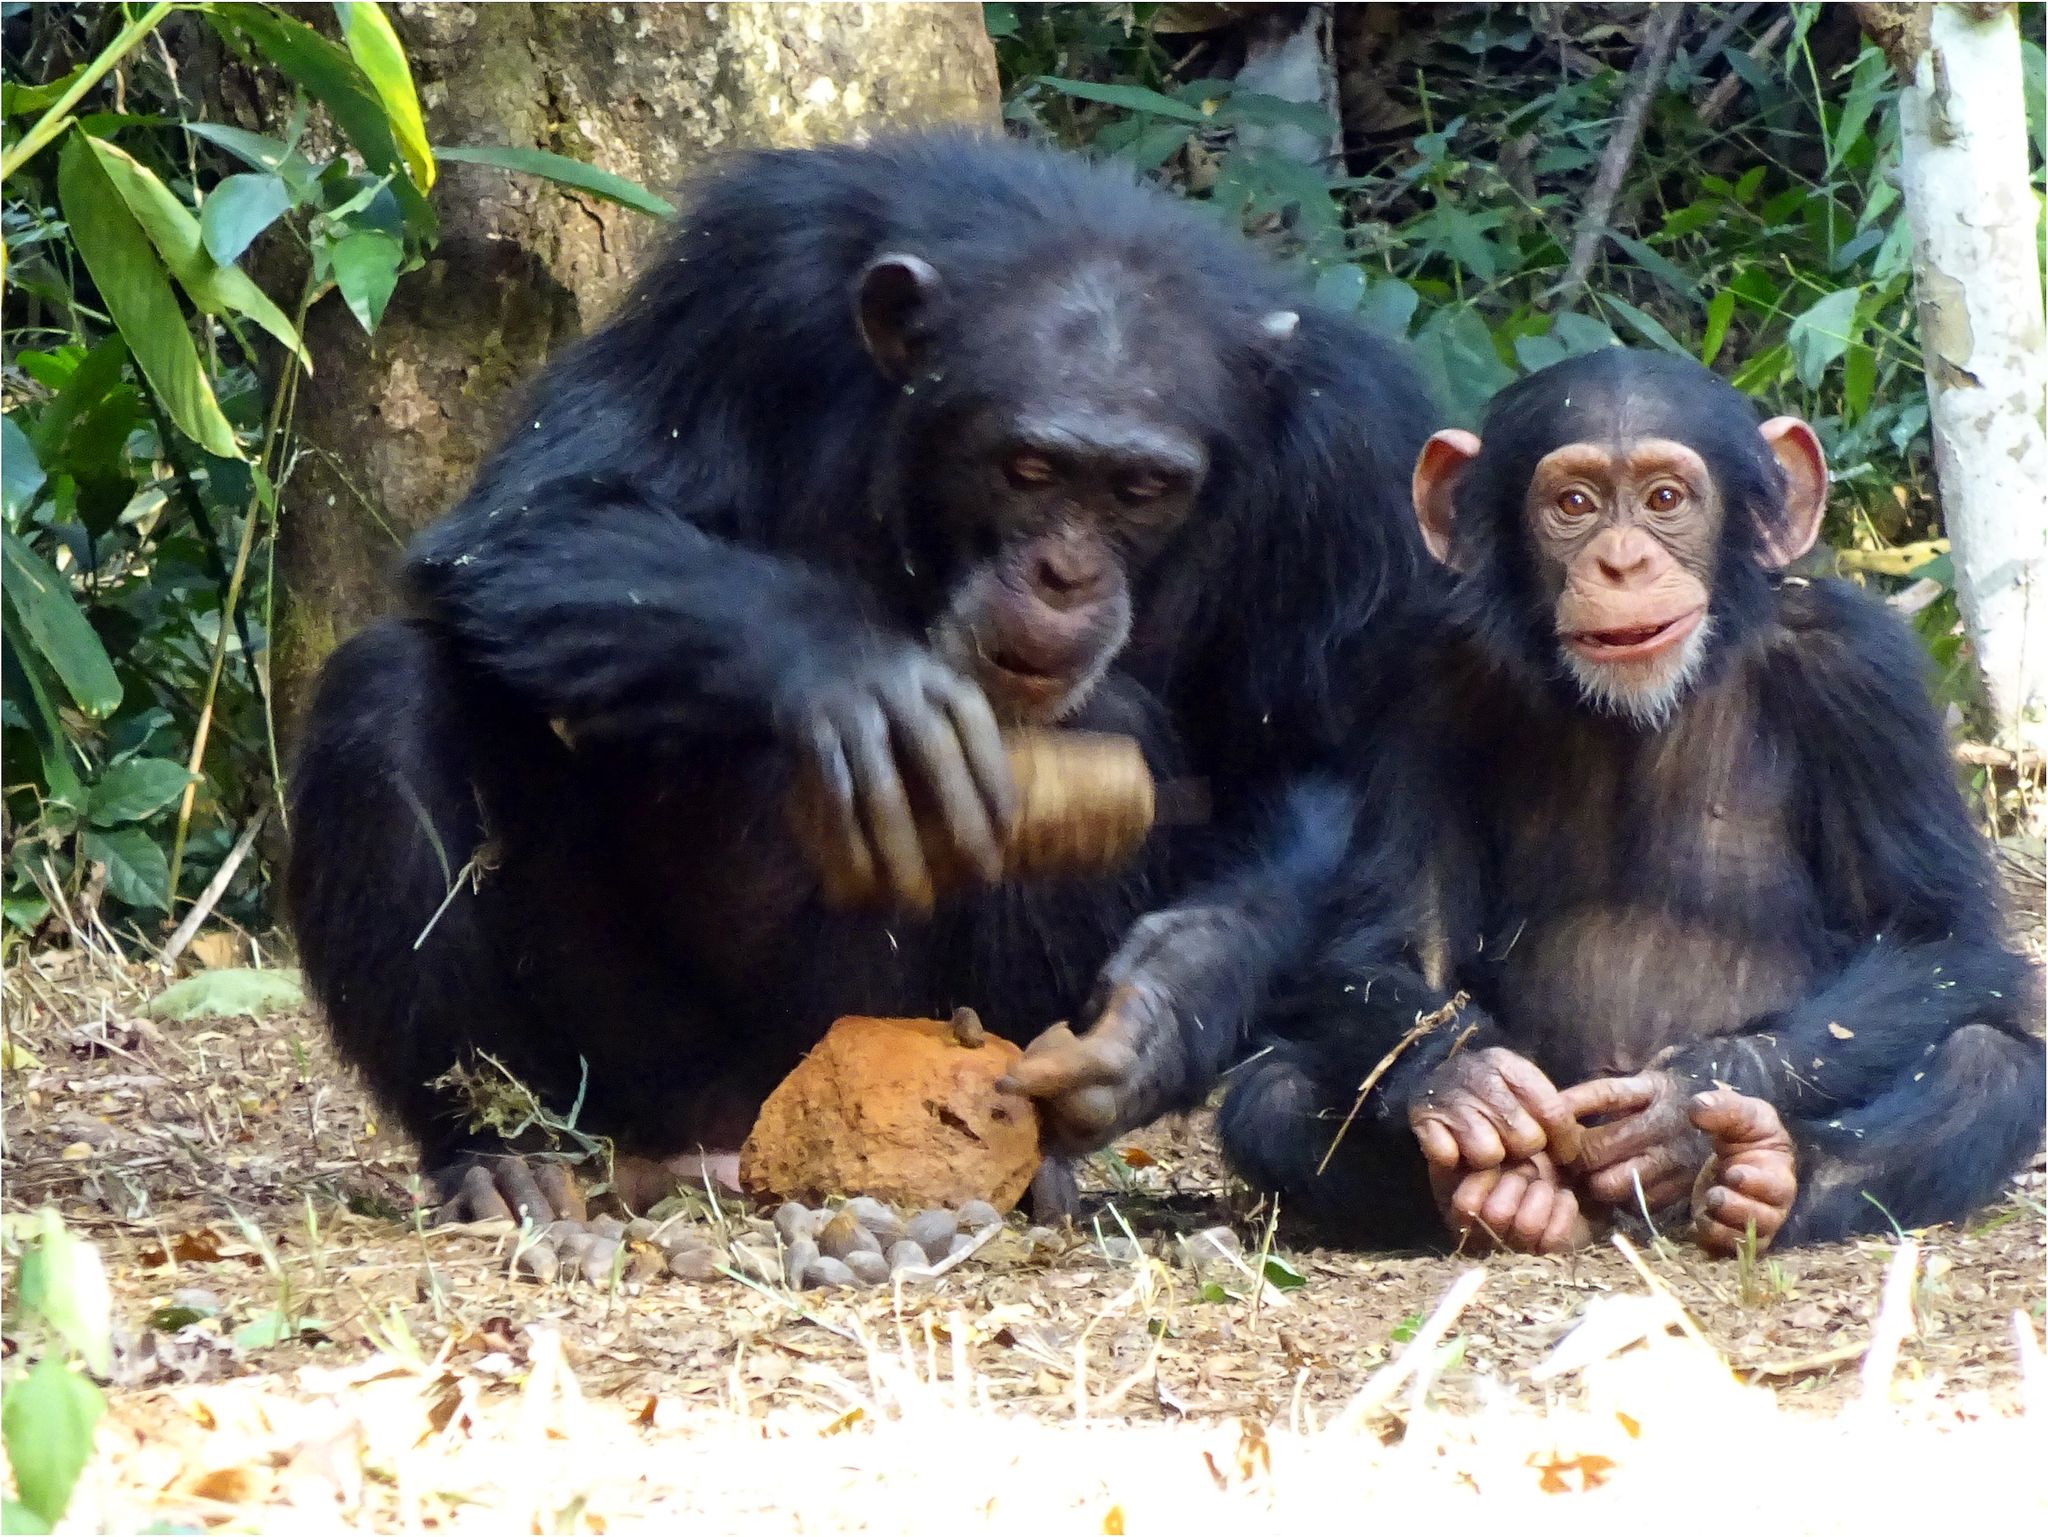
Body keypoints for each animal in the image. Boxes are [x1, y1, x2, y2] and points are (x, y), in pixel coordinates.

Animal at [288, 135, 1441, 1229]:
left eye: (1142, 488)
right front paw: (856, 679)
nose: (1063, 575)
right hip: (636, 1066)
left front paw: (1164, 1007)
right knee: (389, 692)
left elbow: (1313, 758)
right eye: (1027, 468)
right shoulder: (745, 278)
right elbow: (539, 514)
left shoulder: (1348, 450)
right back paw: (498, 1154)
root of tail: (742, 1135)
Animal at [1220, 352, 2039, 1262]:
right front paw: (1468, 1076)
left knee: (1989, 1064)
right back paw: (1501, 1198)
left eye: (1665, 499)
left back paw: (1766, 1175)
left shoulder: (1864, 669)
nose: (1620, 562)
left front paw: (1684, 1100)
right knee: (1270, 1092)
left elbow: (1935, 932)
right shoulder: (1419, 676)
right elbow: (1394, 936)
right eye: (1574, 504)